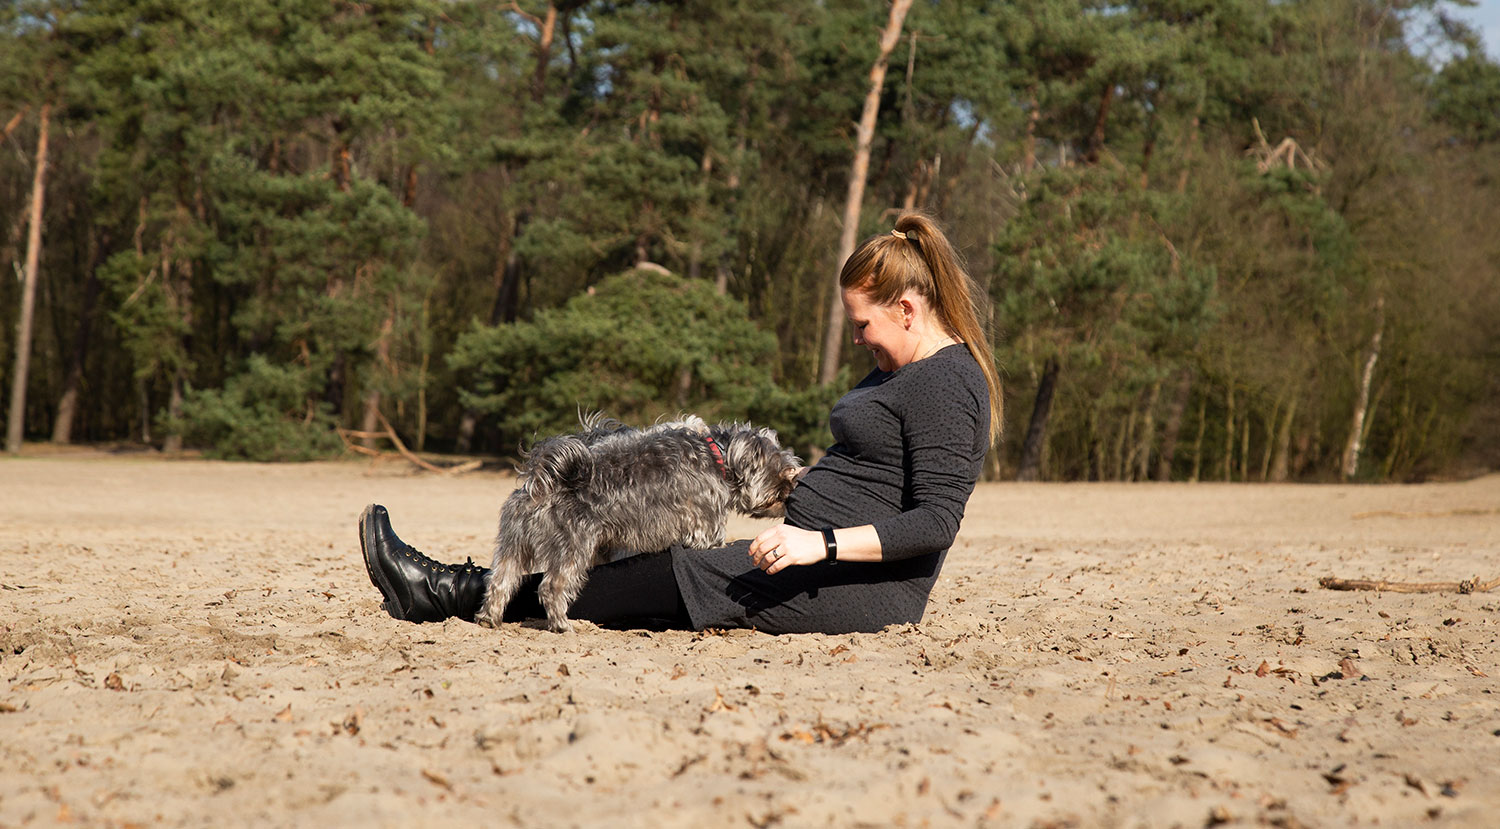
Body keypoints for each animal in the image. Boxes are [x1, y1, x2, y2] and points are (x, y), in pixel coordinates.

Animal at [474, 413, 804, 632]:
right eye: (783, 470)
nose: (794, 485)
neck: (716, 457)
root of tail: (542, 482)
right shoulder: (705, 532)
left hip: (513, 549)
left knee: (499, 582)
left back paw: (489, 619)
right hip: (572, 550)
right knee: (551, 587)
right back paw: (562, 625)